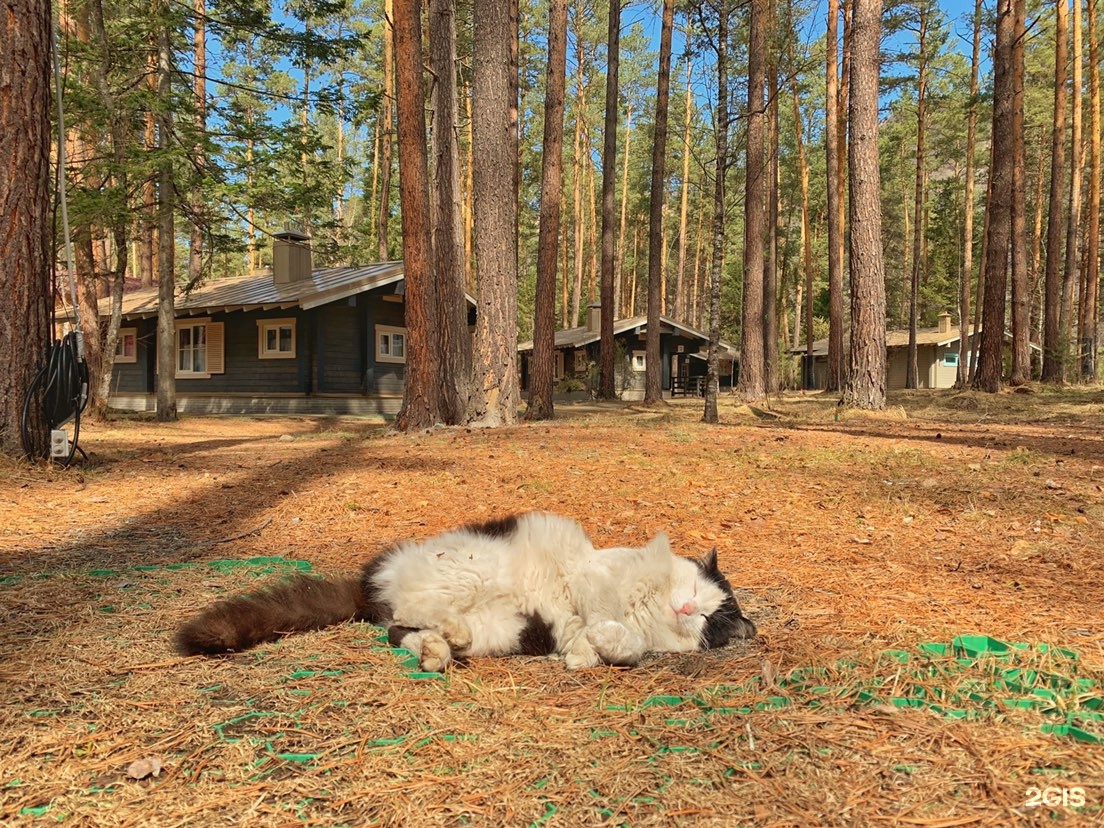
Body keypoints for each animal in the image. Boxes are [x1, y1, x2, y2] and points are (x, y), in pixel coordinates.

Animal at [174, 512, 759, 675]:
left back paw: (441, 648)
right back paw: (444, 636)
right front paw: (603, 636)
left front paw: (593, 651)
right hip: (469, 572)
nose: (688, 607)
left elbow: (603, 646)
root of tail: (365, 585)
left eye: (707, 621)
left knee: (401, 630)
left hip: (506, 629)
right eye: (695, 593)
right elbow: (599, 614)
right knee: (409, 612)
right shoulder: (591, 577)